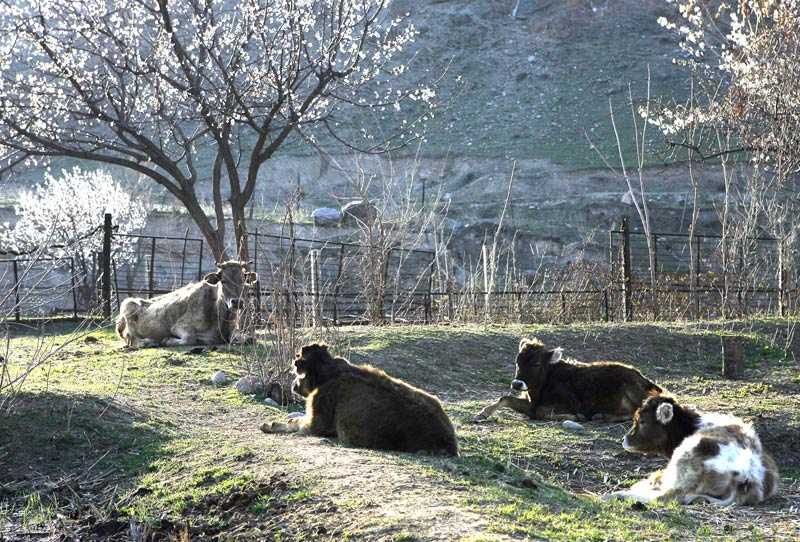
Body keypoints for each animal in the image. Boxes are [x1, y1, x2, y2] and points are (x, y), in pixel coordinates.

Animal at [115, 260, 258, 348]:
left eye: (243, 280)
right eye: (223, 281)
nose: (237, 302)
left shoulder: (234, 329)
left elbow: (250, 338)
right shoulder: (179, 326)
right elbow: (190, 338)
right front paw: (167, 340)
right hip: (129, 306)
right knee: (132, 339)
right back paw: (149, 342)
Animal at [259, 342, 459, 456]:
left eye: (297, 368)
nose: (293, 383)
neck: (325, 375)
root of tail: (450, 443)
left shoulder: (318, 422)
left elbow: (293, 423)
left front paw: (269, 425)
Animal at [473, 337, 662, 423]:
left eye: (536, 363)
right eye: (517, 361)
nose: (517, 384)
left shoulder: (571, 403)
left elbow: (543, 412)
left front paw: (577, 416)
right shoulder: (530, 406)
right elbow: (505, 398)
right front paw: (482, 414)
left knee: (640, 410)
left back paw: (603, 416)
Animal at [604, 393, 779, 505]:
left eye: (642, 421)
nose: (625, 439)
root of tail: (747, 478)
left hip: (684, 462)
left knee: (666, 496)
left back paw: (616, 494)